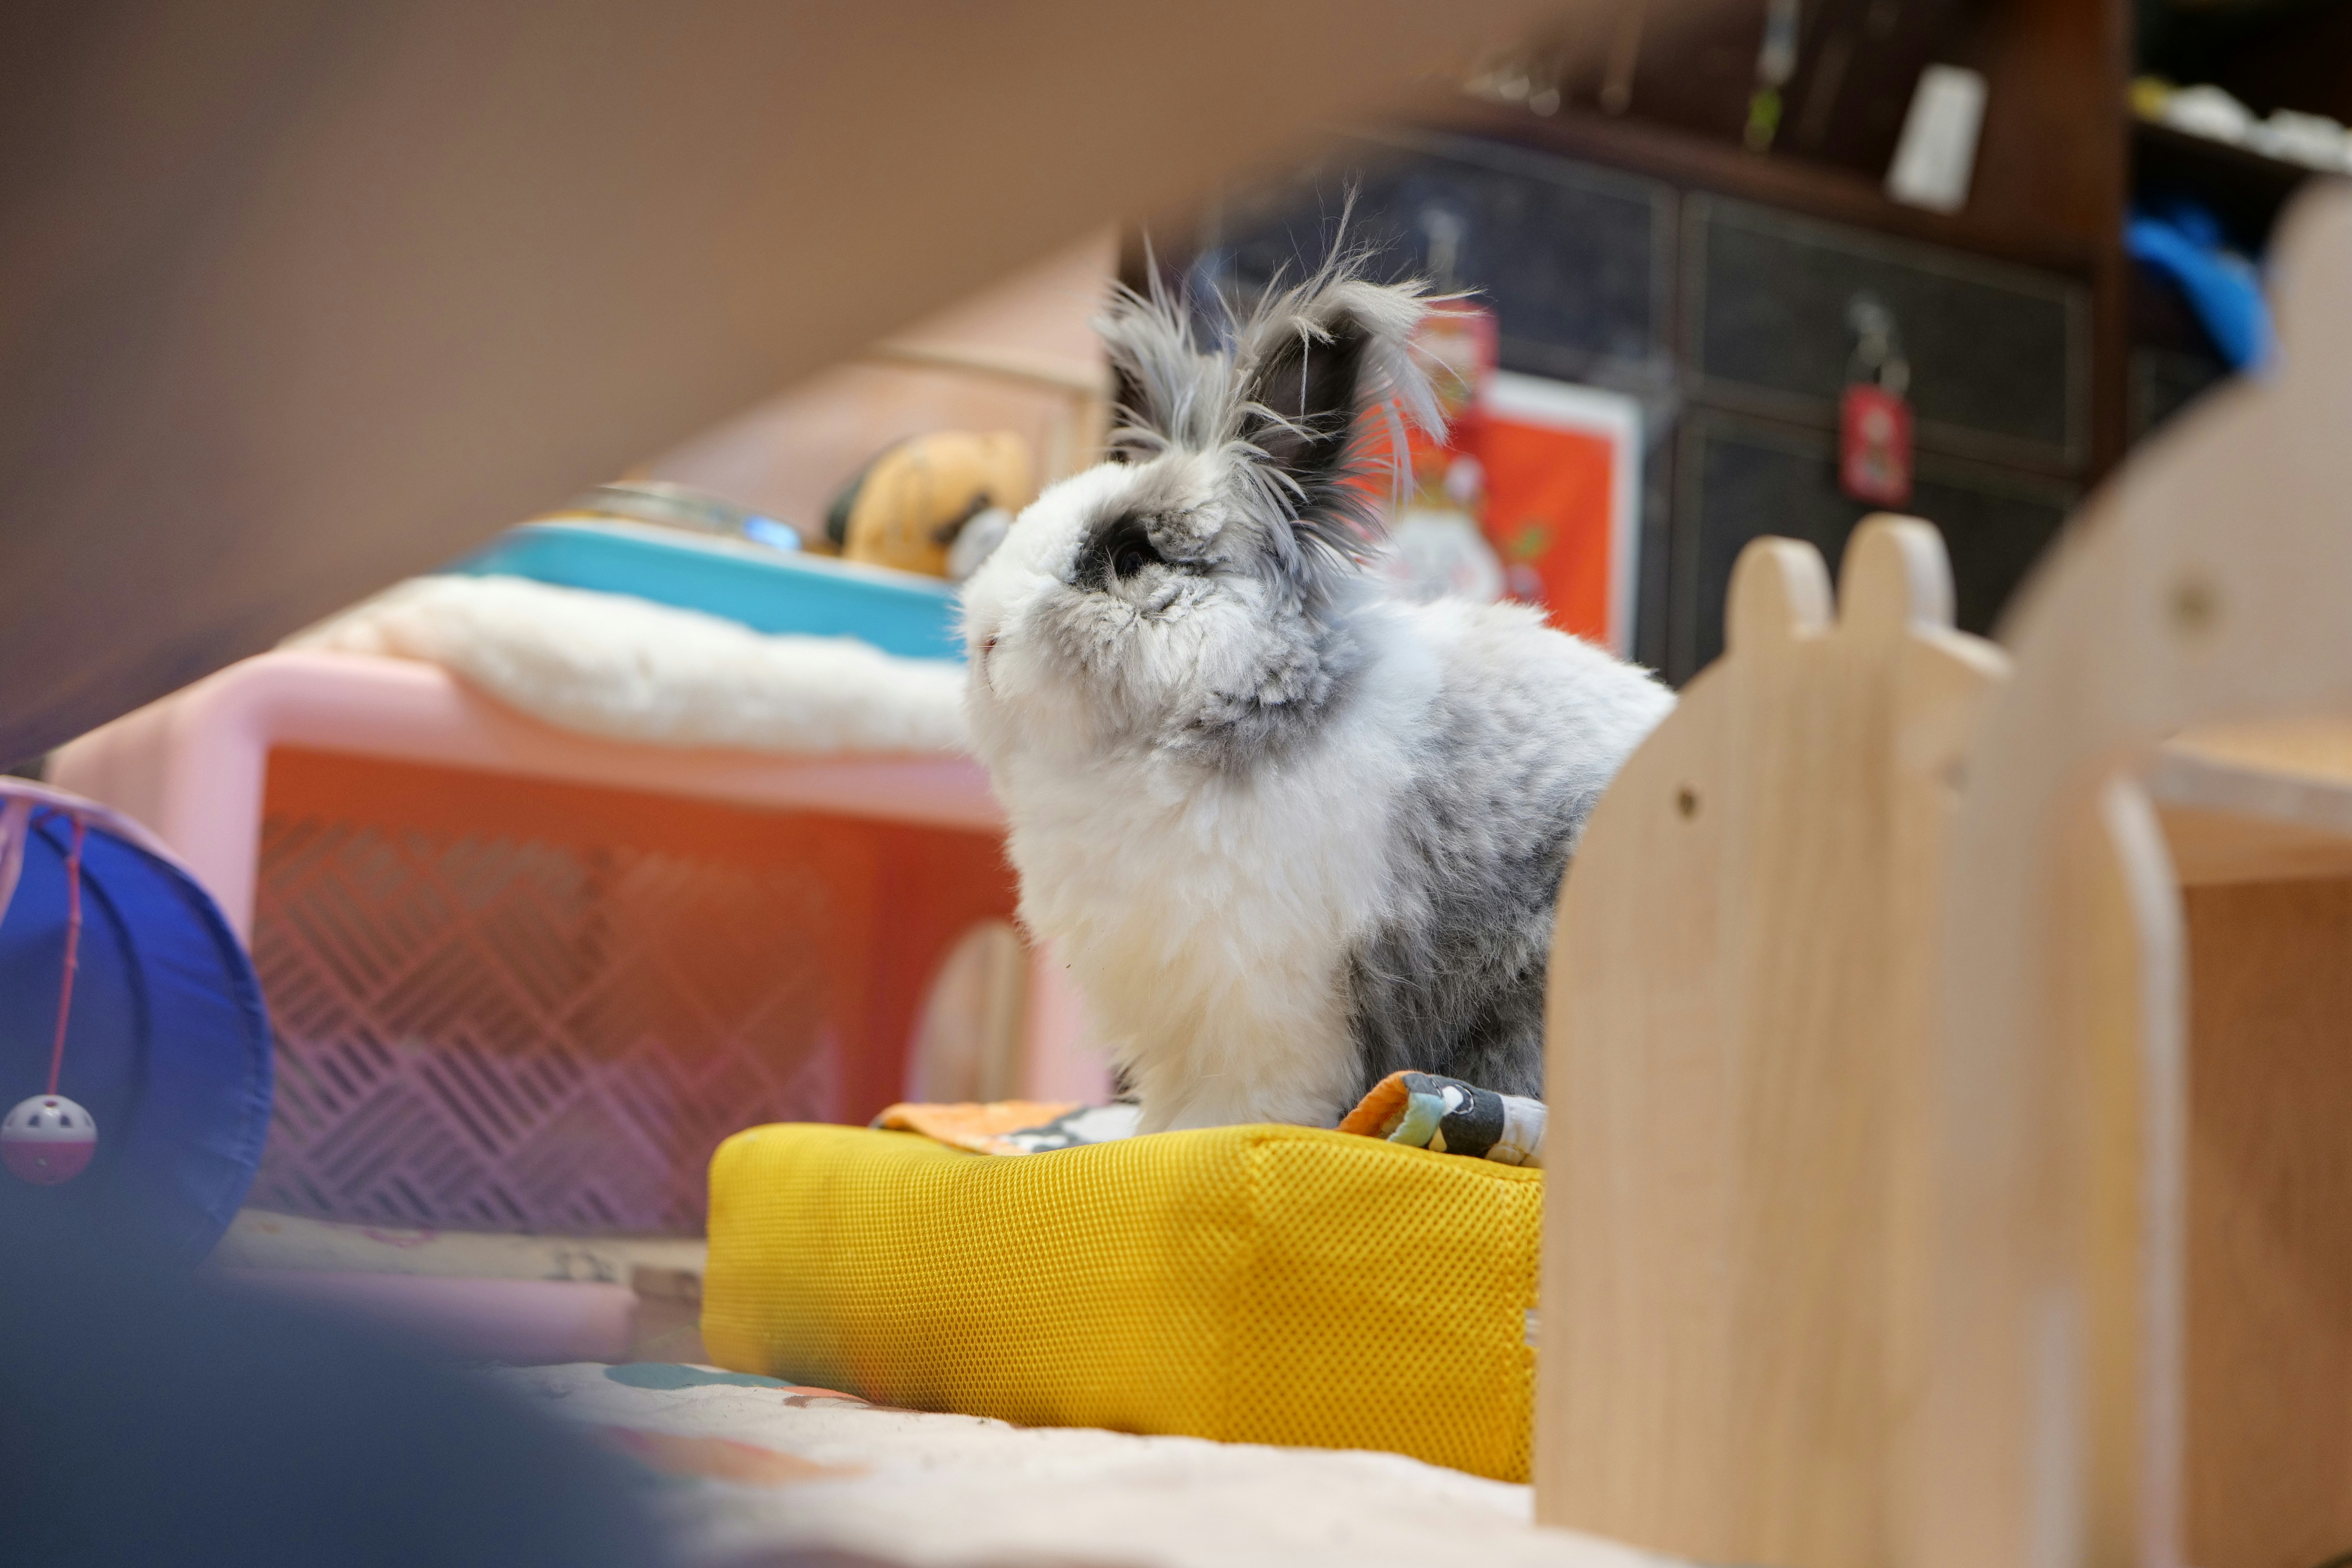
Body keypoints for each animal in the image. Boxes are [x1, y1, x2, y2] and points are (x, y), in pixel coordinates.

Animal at [960, 261, 1675, 1142]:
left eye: (1130, 555)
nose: (985, 639)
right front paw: (1150, 1136)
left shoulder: (1274, 999)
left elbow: (1250, 1096)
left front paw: (1213, 1138)